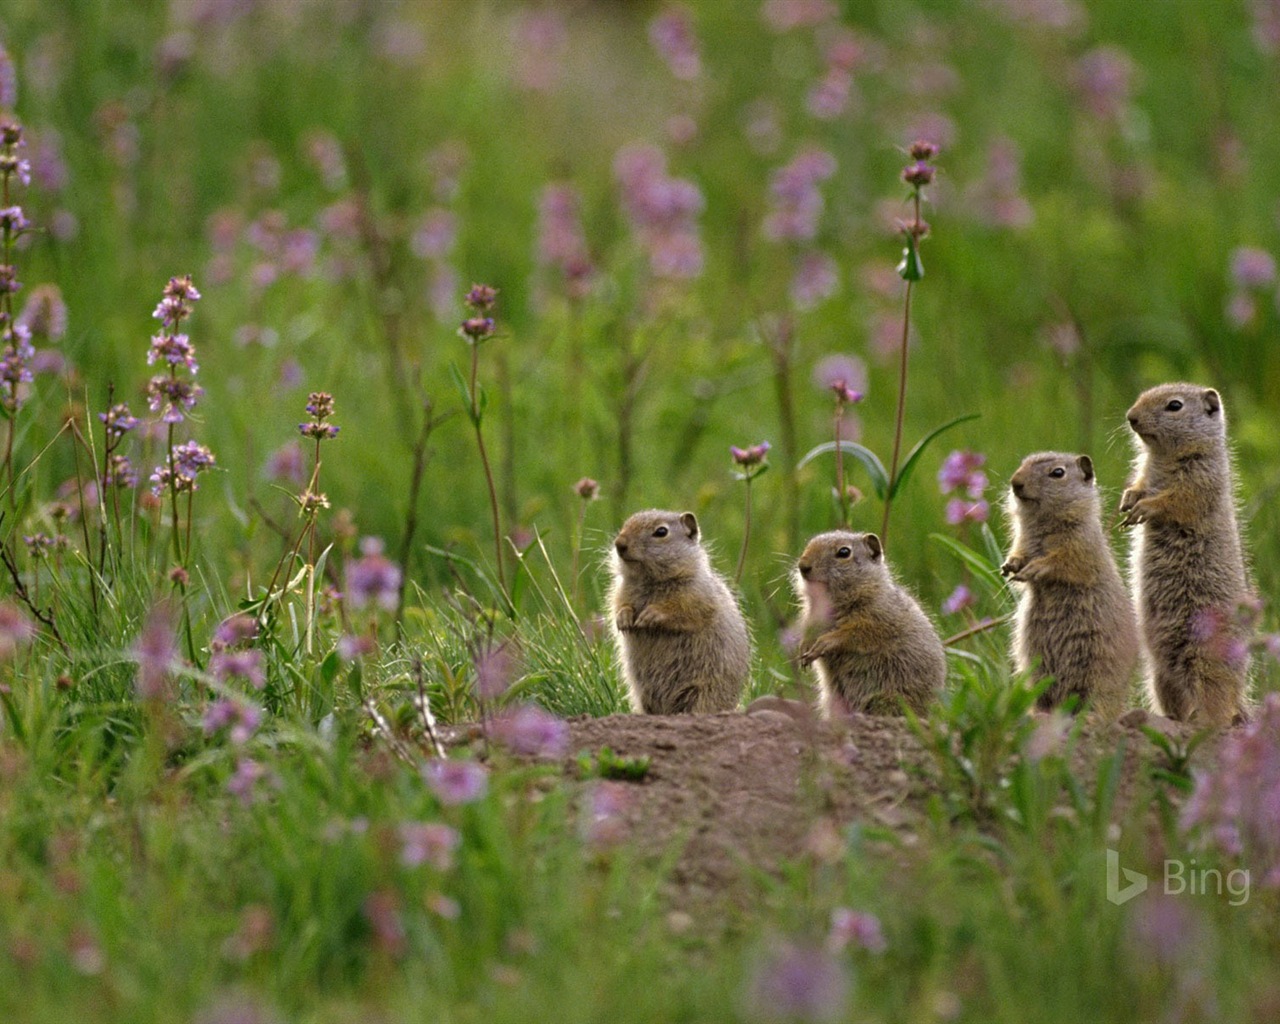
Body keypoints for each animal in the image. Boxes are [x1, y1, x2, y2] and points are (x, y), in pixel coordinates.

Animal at [606, 509, 747, 716]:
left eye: (661, 532)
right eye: (626, 523)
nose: (619, 544)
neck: (652, 581)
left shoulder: (696, 594)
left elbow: (682, 611)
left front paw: (650, 615)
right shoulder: (620, 591)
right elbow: (620, 605)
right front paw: (624, 618)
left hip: (704, 692)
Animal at [793, 532, 947, 716]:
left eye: (844, 552)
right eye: (809, 543)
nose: (803, 566)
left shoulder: (876, 618)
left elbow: (853, 634)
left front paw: (825, 642)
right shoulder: (812, 617)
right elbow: (810, 631)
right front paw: (804, 649)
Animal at [998, 453, 1141, 716]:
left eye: (1058, 473)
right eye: (1022, 463)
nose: (1015, 483)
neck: (1043, 524)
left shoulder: (1080, 543)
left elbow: (1064, 561)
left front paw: (1034, 568)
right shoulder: (1023, 541)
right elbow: (1019, 553)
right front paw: (1009, 566)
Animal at [1121, 384, 1249, 727]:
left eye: (1174, 406)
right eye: (1140, 396)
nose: (1131, 416)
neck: (1163, 457)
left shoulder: (1201, 477)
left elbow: (1177, 499)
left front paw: (1144, 507)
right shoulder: (1145, 472)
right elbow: (1139, 484)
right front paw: (1128, 501)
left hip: (1207, 664)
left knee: (1217, 708)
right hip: (1161, 677)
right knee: (1175, 702)